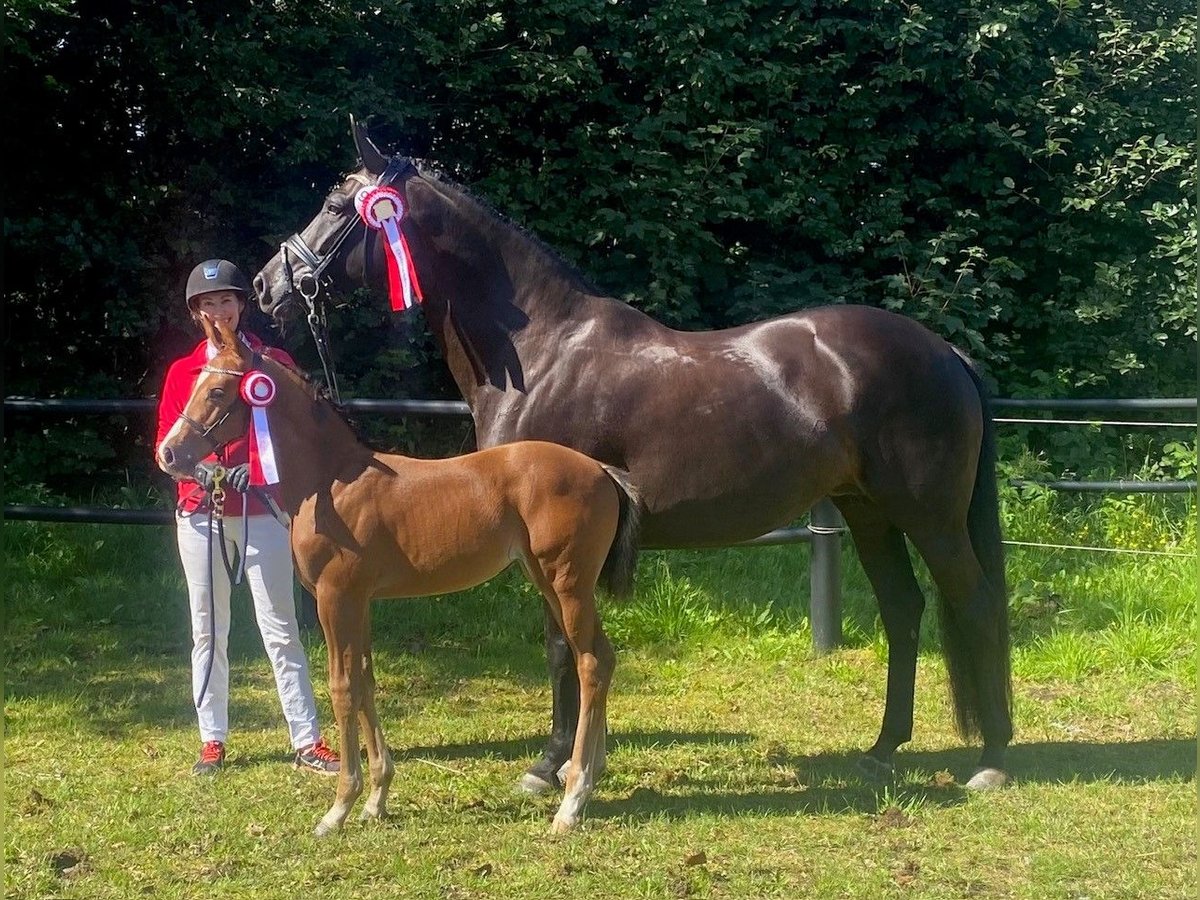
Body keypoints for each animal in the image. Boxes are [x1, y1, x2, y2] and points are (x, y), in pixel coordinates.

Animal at [160, 319, 648, 840]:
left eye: (216, 390)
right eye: (194, 382)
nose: (169, 453)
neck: (330, 483)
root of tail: (602, 470)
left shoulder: (336, 598)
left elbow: (342, 687)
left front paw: (338, 808)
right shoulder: (360, 601)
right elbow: (366, 680)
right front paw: (376, 798)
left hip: (567, 584)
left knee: (591, 663)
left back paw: (571, 802)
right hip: (550, 582)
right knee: (601, 658)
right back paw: (588, 777)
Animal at [250, 120, 1012, 796]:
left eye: (335, 206)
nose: (266, 287)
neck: (544, 353)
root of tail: (945, 352)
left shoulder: (552, 540)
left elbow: (560, 643)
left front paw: (549, 764)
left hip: (929, 516)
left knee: (974, 604)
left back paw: (992, 760)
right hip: (868, 511)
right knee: (904, 610)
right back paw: (884, 748)